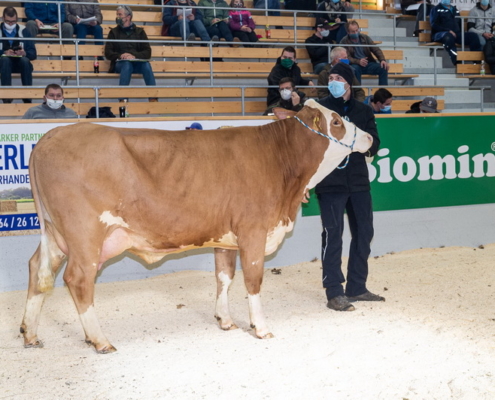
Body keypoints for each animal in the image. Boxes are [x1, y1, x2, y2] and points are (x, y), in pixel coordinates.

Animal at [21, 101, 374, 354]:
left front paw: (225, 321)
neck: (280, 160)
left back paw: (30, 334)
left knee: (39, 270)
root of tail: (51, 136)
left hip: (54, 233)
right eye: (337, 121)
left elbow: (224, 277)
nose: (371, 136)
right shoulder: (253, 231)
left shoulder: (225, 237)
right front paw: (260, 327)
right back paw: (100, 340)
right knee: (78, 279)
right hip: (85, 234)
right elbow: (253, 280)